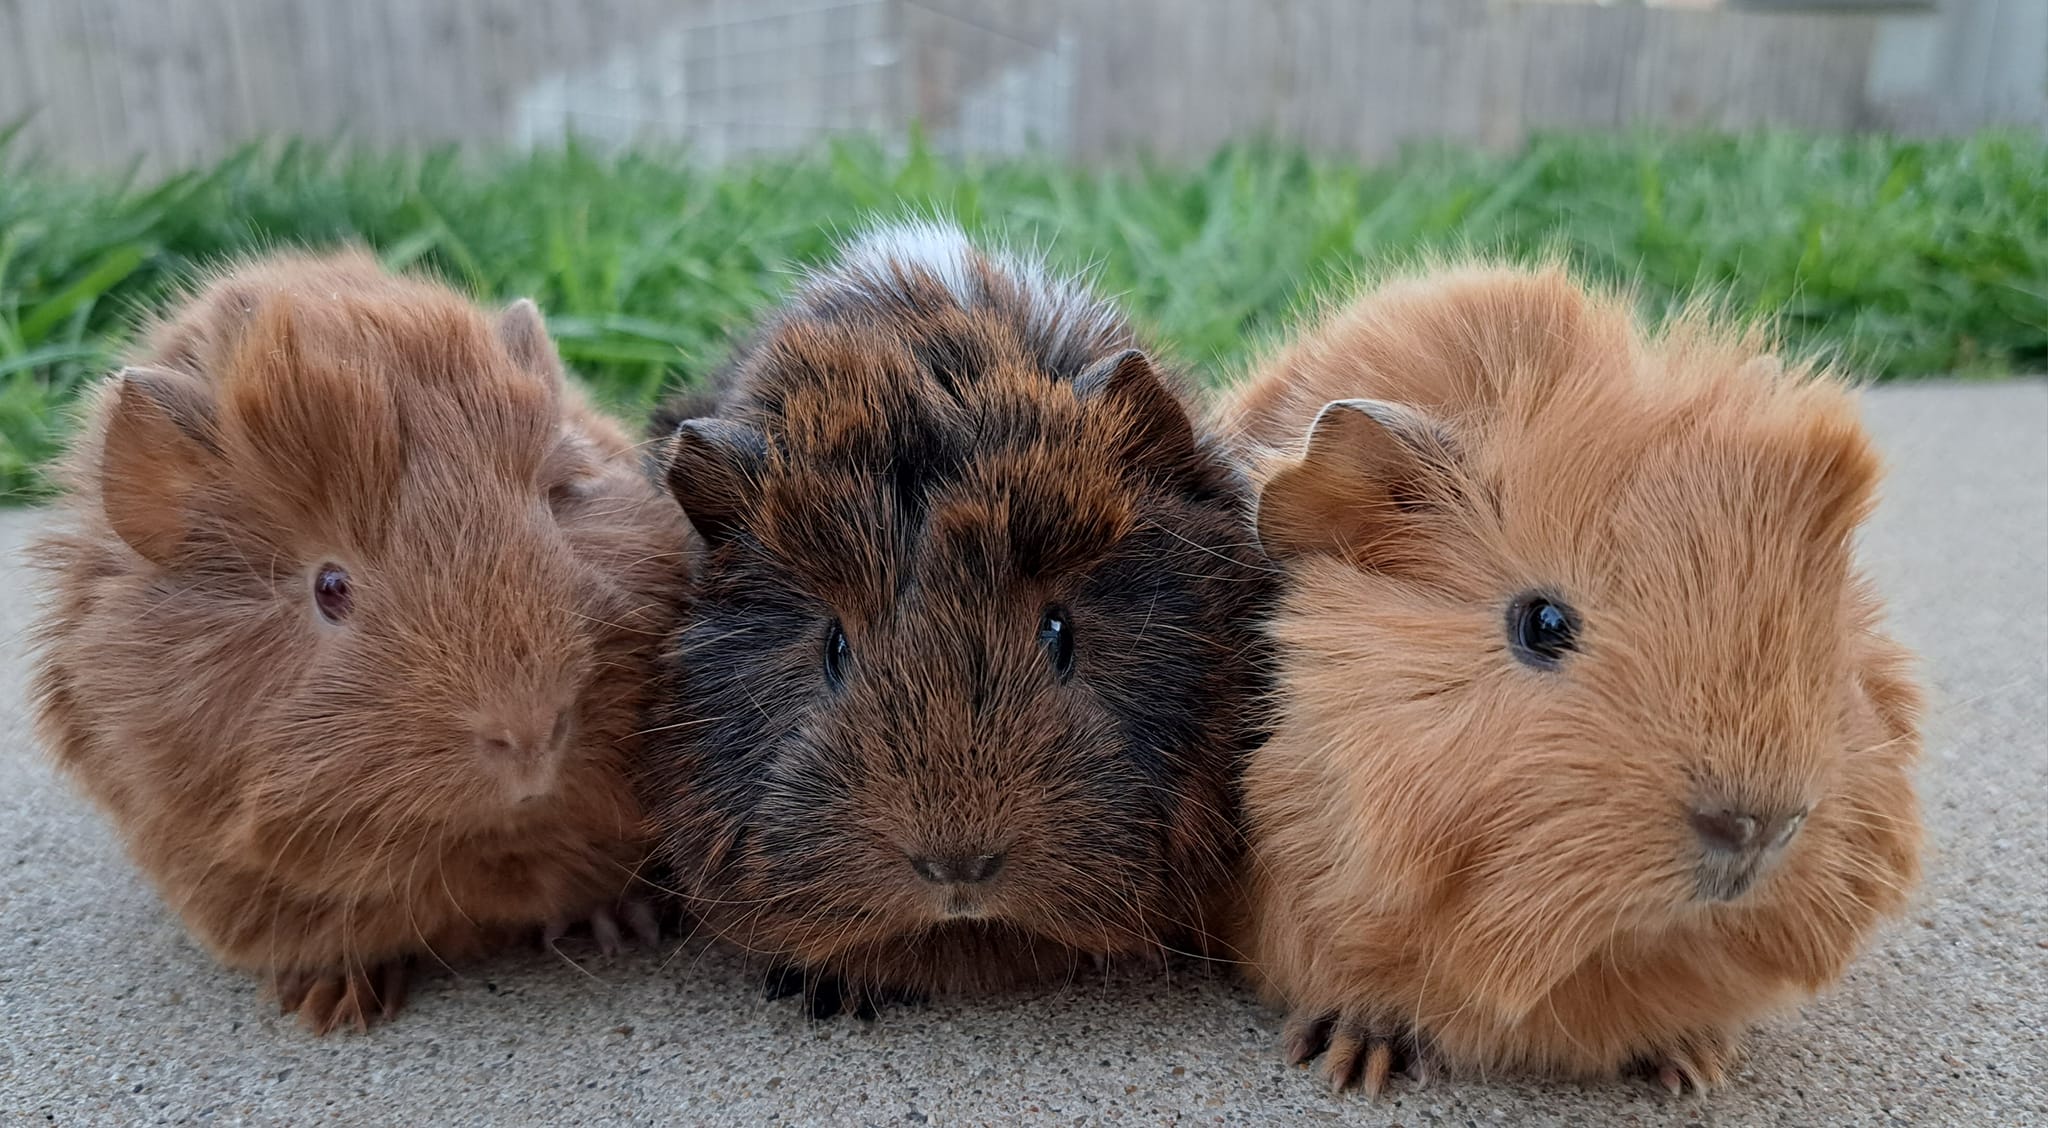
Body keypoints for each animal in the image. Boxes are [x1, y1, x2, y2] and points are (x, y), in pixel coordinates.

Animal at [30, 251, 687, 1033]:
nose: (530, 734)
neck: (486, 851)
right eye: (330, 586)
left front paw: (624, 927)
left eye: (553, 510)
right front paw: (334, 1007)